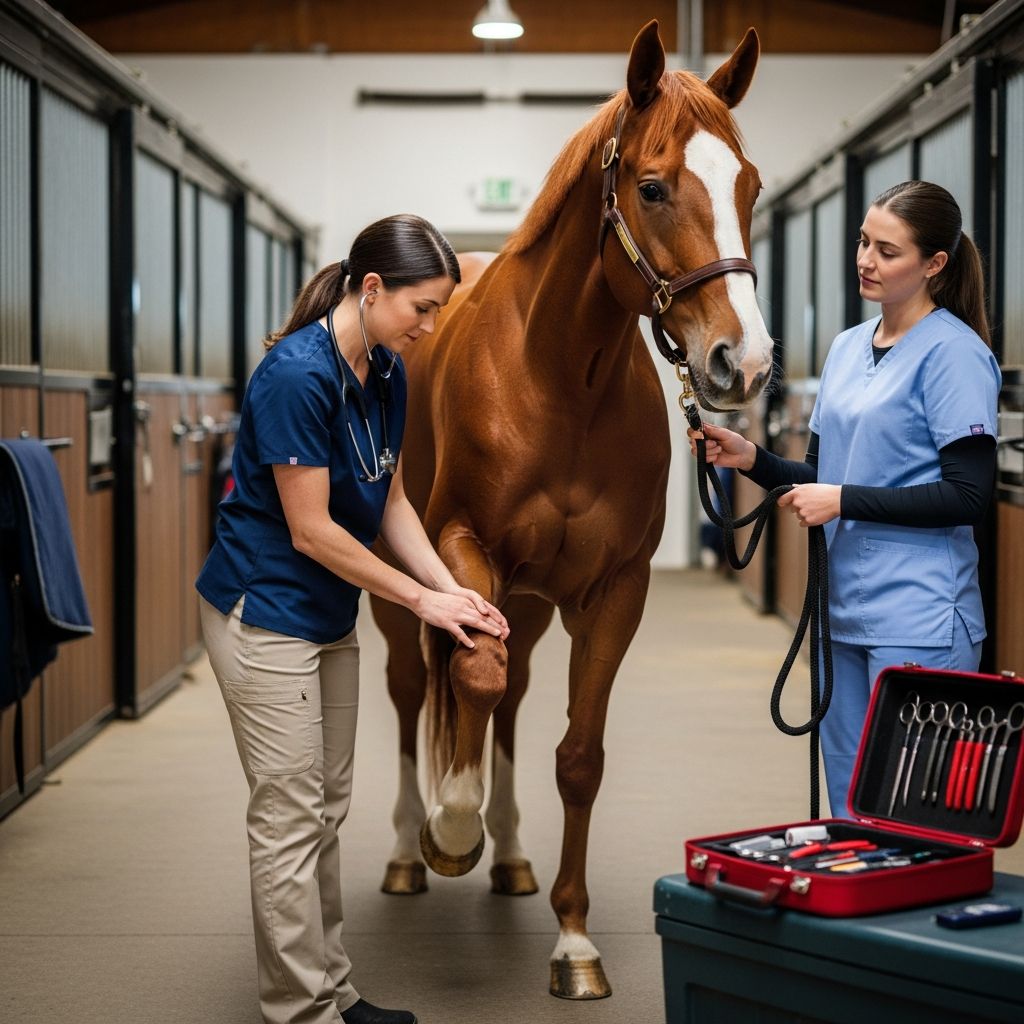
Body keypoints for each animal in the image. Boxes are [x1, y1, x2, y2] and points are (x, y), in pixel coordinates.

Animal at [371, 20, 772, 999]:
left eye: (748, 185)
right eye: (654, 186)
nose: (742, 363)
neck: (558, 380)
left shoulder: (612, 591)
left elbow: (577, 756)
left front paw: (574, 941)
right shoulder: (459, 549)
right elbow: (466, 681)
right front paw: (451, 828)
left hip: (528, 601)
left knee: (510, 694)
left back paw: (513, 857)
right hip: (406, 588)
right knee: (416, 690)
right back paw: (409, 852)